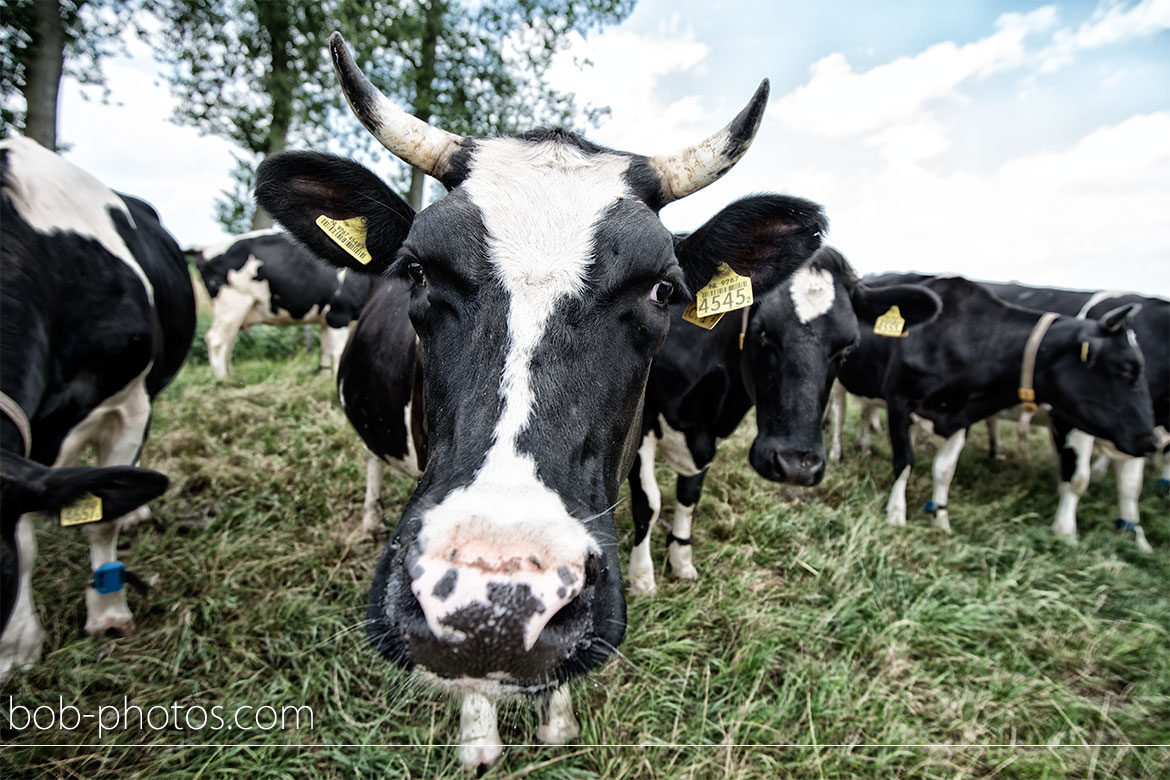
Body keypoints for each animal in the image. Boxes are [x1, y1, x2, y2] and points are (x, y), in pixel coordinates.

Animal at [188, 229, 374, 378]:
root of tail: (205, 249)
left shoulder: (326, 319)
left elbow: (325, 348)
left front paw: (324, 376)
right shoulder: (338, 315)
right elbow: (338, 352)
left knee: (229, 340)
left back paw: (231, 376)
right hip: (233, 302)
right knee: (217, 340)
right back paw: (223, 381)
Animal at [252, 33, 828, 771]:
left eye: (664, 290)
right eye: (416, 269)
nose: (493, 611)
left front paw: (556, 718)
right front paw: (478, 736)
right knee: (377, 459)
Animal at [622, 246, 940, 594]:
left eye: (848, 348)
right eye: (763, 333)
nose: (797, 466)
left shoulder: (706, 435)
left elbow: (689, 495)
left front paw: (681, 559)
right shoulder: (639, 425)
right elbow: (648, 504)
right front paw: (642, 577)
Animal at [837, 274, 1155, 549]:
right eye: (1125, 369)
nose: (1149, 441)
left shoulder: (961, 416)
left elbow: (944, 471)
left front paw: (940, 518)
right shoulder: (898, 401)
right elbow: (904, 462)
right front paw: (896, 513)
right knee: (840, 415)